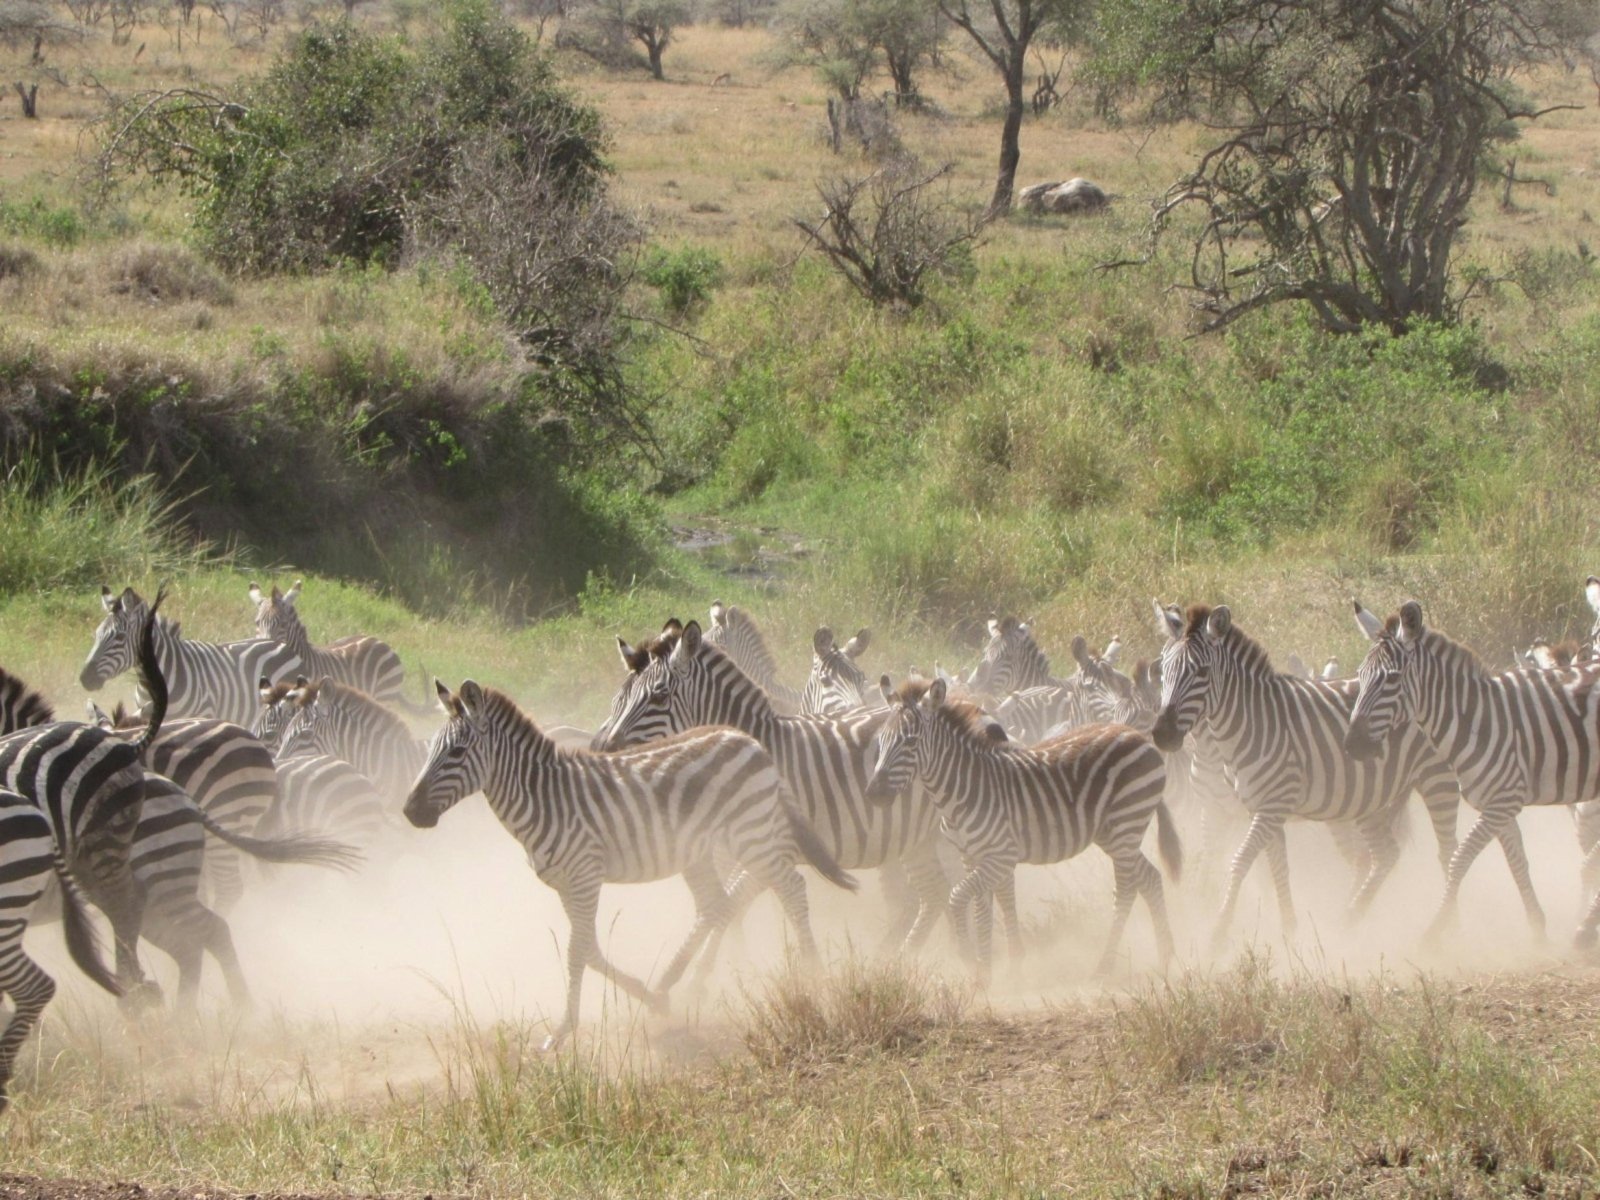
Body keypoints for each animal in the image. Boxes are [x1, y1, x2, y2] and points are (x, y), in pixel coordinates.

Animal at [405, 678, 857, 1050]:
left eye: (457, 752)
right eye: (429, 750)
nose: (410, 811)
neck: (546, 798)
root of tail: (747, 740)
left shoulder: (585, 875)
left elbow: (576, 951)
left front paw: (561, 1032)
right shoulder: (566, 884)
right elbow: (589, 950)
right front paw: (648, 998)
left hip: (752, 834)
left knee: (792, 888)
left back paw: (814, 977)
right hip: (704, 849)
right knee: (718, 904)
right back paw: (673, 983)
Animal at [592, 621, 956, 953]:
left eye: (659, 696)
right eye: (621, 697)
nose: (603, 748)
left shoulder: (766, 847)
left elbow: (729, 904)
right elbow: (725, 905)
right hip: (918, 838)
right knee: (935, 893)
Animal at [865, 675, 1178, 981]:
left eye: (910, 742)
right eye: (881, 741)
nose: (874, 794)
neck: (963, 790)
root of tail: (1140, 737)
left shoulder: (1000, 857)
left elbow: (958, 897)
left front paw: (970, 960)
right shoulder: (971, 857)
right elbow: (982, 907)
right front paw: (985, 970)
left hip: (1126, 825)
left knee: (1126, 890)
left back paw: (1105, 966)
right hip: (1113, 833)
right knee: (1150, 878)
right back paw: (1165, 956)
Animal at [1152, 602, 1464, 947]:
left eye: (1201, 673)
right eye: (1163, 670)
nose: (1162, 734)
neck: (1251, 723)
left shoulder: (1271, 806)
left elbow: (1240, 860)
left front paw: (1218, 932)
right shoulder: (1259, 808)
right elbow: (1278, 868)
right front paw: (1289, 928)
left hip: (1438, 780)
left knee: (1448, 854)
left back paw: (1449, 930)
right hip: (1369, 797)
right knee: (1385, 855)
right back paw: (1350, 919)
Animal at [1344, 599, 1600, 946]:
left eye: (1392, 680)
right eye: (1360, 676)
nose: (1351, 746)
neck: (1475, 720)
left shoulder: (1503, 802)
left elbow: (1458, 859)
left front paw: (1434, 932)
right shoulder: (1500, 805)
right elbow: (1518, 864)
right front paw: (1538, 932)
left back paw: (1585, 932)